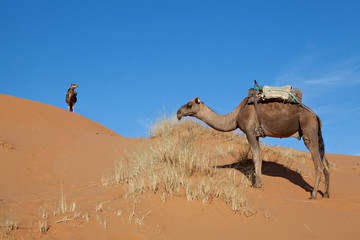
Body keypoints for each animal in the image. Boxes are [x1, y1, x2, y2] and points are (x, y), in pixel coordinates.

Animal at [176, 95, 330, 199]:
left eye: (189, 105)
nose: (178, 112)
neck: (235, 116)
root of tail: (315, 115)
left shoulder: (249, 131)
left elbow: (256, 157)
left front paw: (257, 184)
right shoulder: (256, 135)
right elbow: (258, 156)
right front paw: (257, 182)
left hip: (308, 129)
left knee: (318, 163)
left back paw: (313, 194)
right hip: (317, 134)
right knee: (326, 163)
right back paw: (326, 194)